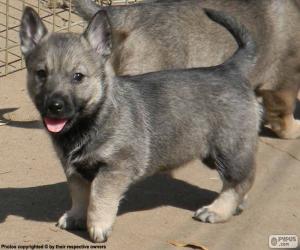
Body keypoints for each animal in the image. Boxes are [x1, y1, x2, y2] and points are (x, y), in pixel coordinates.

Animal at [20, 7, 260, 242]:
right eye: (41, 74)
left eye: (78, 77)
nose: (55, 106)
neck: (95, 117)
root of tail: (230, 69)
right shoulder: (75, 171)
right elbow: (79, 195)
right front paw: (76, 216)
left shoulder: (114, 168)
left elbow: (98, 197)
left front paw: (98, 226)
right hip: (214, 153)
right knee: (243, 178)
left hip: (228, 149)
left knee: (238, 181)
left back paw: (217, 211)